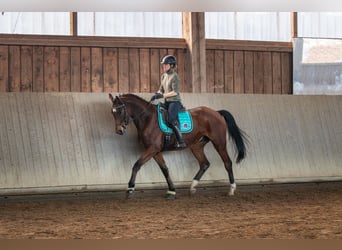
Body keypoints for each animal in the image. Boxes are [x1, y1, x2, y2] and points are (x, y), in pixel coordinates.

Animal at [109, 94, 248, 199]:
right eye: (112, 112)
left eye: (120, 110)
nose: (119, 131)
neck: (147, 118)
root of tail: (217, 113)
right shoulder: (155, 151)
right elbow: (165, 169)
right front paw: (171, 191)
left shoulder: (152, 149)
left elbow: (137, 165)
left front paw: (130, 188)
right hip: (196, 146)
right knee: (204, 163)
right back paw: (192, 187)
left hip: (219, 143)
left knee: (227, 163)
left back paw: (231, 189)